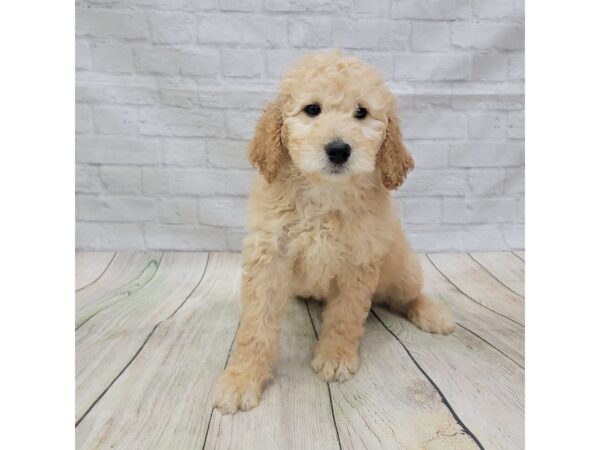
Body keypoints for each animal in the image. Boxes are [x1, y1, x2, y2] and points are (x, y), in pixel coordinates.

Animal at [213, 51, 452, 414]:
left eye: (361, 112)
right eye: (312, 109)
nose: (339, 150)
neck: (324, 192)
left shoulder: (359, 261)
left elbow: (345, 316)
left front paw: (335, 357)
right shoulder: (269, 256)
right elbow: (256, 325)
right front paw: (243, 378)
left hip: (402, 269)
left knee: (409, 295)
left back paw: (433, 314)